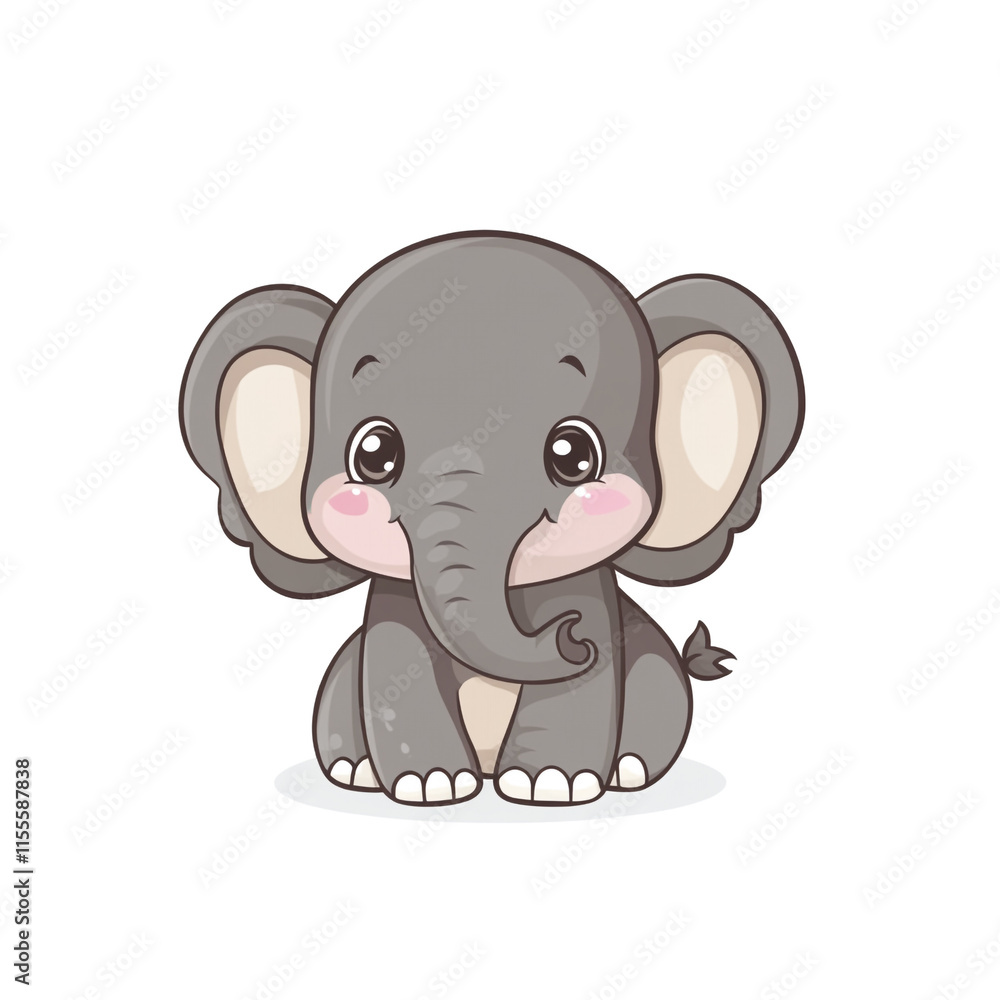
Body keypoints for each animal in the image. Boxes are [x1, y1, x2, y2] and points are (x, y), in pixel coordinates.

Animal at [179, 231, 804, 807]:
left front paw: (550, 786)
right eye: (374, 453)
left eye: (574, 455)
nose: (569, 636)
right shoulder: (395, 602)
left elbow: (590, 672)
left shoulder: (587, 590)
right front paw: (430, 785)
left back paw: (628, 771)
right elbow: (395, 663)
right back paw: (355, 772)